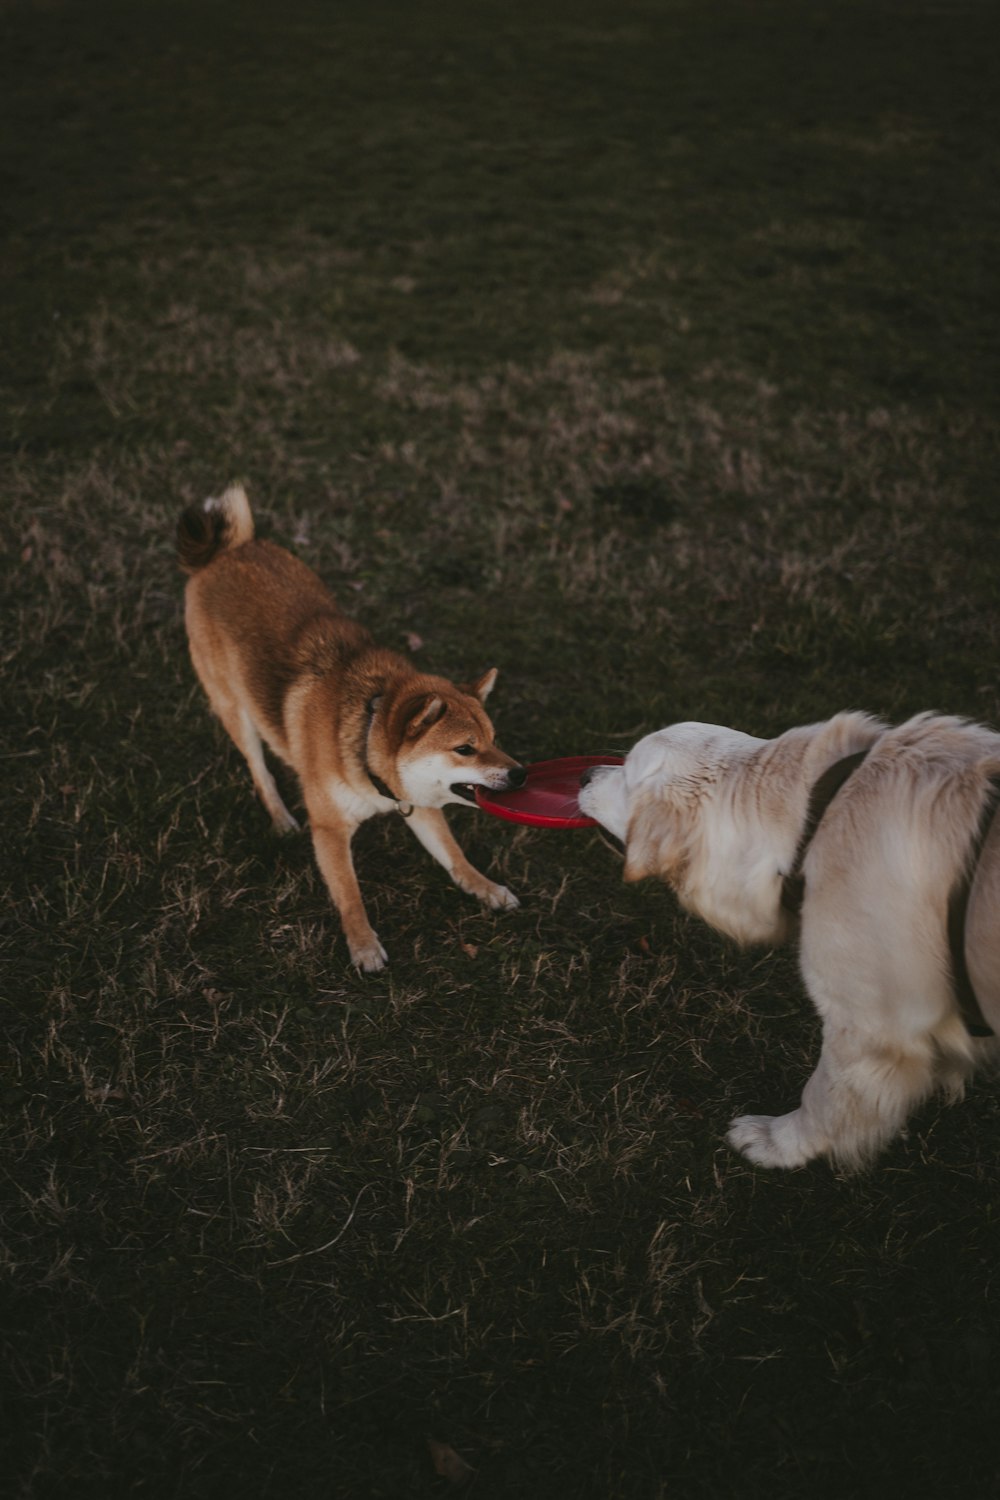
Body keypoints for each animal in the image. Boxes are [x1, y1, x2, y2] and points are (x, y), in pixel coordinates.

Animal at [179, 483, 527, 972]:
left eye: (494, 740)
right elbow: (349, 894)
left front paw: (487, 889)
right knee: (259, 768)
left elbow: (455, 856)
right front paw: (363, 946)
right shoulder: (329, 829)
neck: (365, 736)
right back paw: (281, 817)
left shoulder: (418, 804)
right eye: (465, 748)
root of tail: (225, 552)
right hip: (235, 709)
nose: (521, 774)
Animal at [578, 714, 1000, 1170]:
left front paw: (776, 1143)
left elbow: (823, 1098)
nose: (584, 774)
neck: (817, 819)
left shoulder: (866, 1028)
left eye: (627, 775)